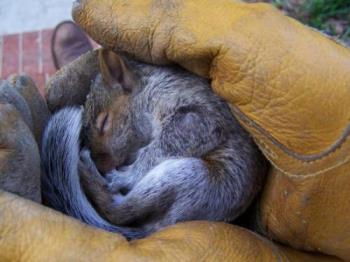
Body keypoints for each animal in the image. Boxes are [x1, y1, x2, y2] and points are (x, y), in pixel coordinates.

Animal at [41, 49, 266, 239]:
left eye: (104, 122)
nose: (101, 165)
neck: (149, 87)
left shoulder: (197, 117)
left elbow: (168, 142)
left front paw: (127, 173)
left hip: (192, 179)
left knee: (118, 210)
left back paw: (93, 173)